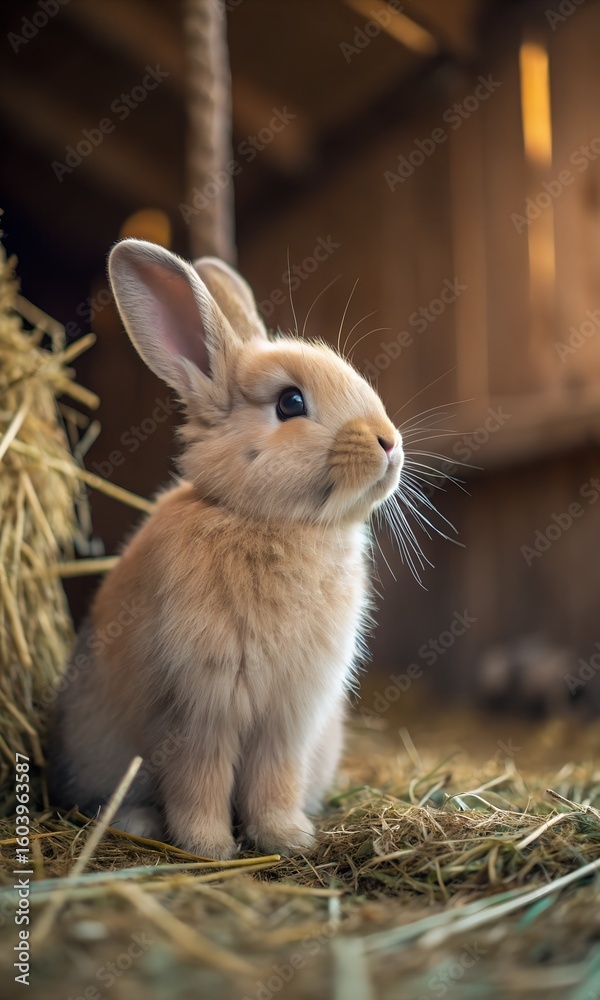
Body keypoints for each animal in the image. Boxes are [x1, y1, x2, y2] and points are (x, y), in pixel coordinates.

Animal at [48, 238, 404, 859]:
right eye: (290, 402)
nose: (389, 441)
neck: (271, 522)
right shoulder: (199, 711)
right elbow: (200, 780)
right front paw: (207, 847)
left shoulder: (290, 717)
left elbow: (275, 779)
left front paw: (288, 839)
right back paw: (142, 824)